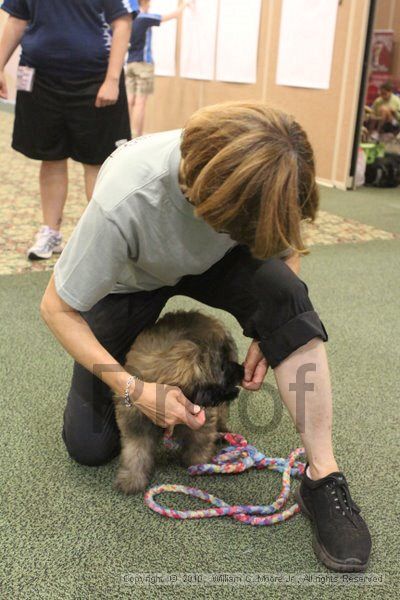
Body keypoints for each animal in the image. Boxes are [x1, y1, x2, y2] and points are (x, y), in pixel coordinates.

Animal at [113, 312, 244, 494]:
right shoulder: (136, 424)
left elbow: (199, 444)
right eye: (222, 367)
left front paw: (200, 463)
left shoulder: (202, 421)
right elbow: (135, 451)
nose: (243, 370)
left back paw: (223, 432)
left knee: (222, 415)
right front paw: (132, 478)